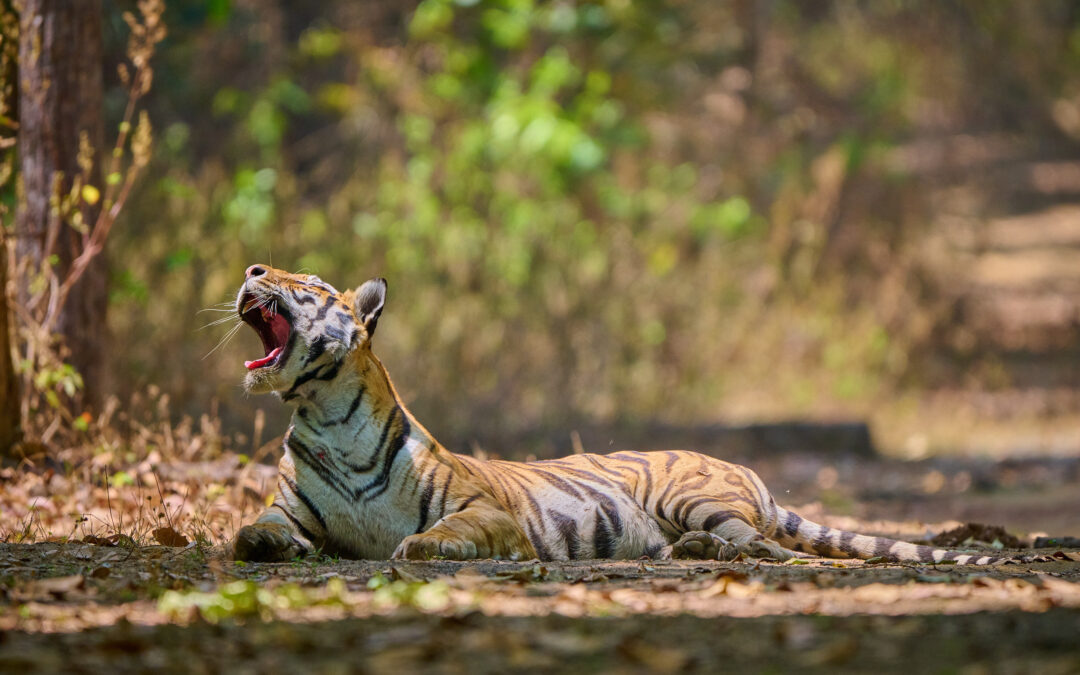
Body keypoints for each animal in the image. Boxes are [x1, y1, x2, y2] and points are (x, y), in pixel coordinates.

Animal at [229, 264, 1010, 566]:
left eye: (308, 281)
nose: (253, 271)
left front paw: (417, 548)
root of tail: (744, 469)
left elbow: (444, 530)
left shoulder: (488, 511)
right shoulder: (294, 509)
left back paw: (719, 552)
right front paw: (259, 543)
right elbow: (256, 528)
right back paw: (694, 553)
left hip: (692, 494)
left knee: (778, 549)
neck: (327, 414)